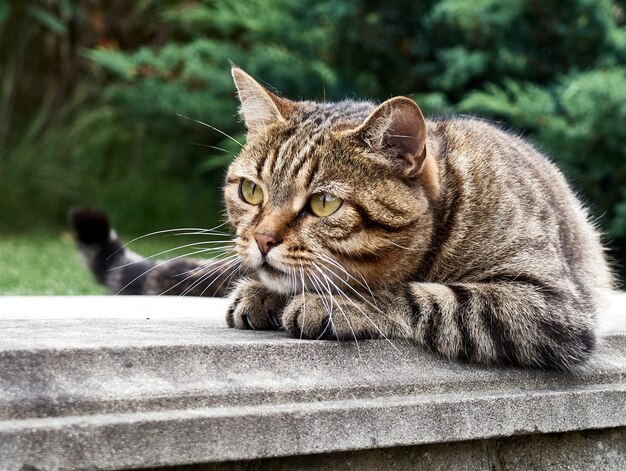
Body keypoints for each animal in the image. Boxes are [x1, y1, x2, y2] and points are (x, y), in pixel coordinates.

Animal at [72, 66, 608, 370]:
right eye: (251, 191)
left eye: (324, 204)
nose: (261, 240)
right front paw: (262, 291)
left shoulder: (549, 307)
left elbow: (423, 294)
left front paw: (338, 303)